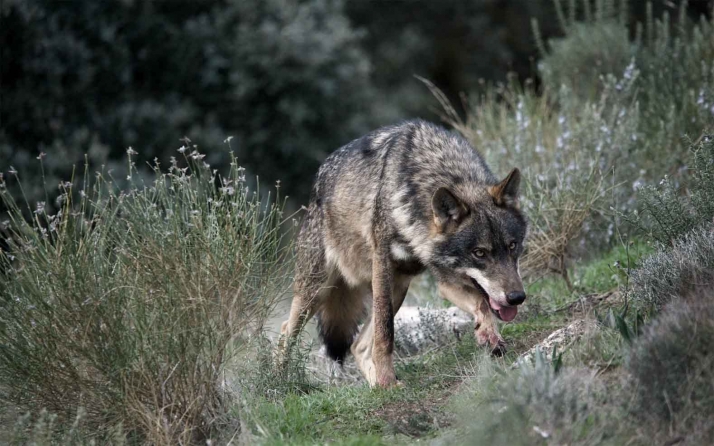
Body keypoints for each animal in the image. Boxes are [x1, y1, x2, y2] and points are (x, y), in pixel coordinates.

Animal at [279, 119, 528, 388]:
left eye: (512, 246)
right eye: (479, 253)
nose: (517, 297)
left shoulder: (445, 279)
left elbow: (481, 303)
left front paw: (489, 336)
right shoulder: (383, 266)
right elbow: (385, 334)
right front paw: (387, 379)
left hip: (397, 287)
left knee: (358, 346)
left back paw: (377, 387)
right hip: (317, 291)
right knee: (285, 332)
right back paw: (278, 381)